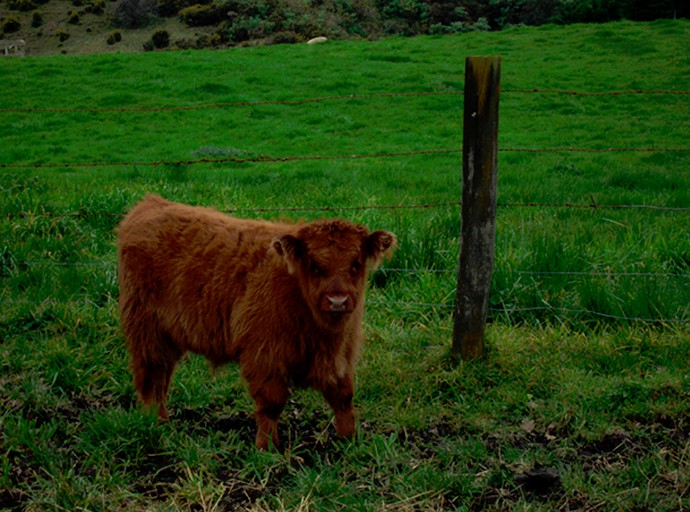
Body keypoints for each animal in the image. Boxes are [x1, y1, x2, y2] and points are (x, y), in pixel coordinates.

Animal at [116, 195, 396, 448]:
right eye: (314, 266)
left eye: (356, 264)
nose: (337, 301)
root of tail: (151, 203)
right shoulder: (265, 353)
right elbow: (271, 403)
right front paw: (266, 447)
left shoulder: (342, 355)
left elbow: (343, 396)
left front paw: (349, 439)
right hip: (146, 329)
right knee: (151, 379)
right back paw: (156, 425)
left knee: (161, 378)